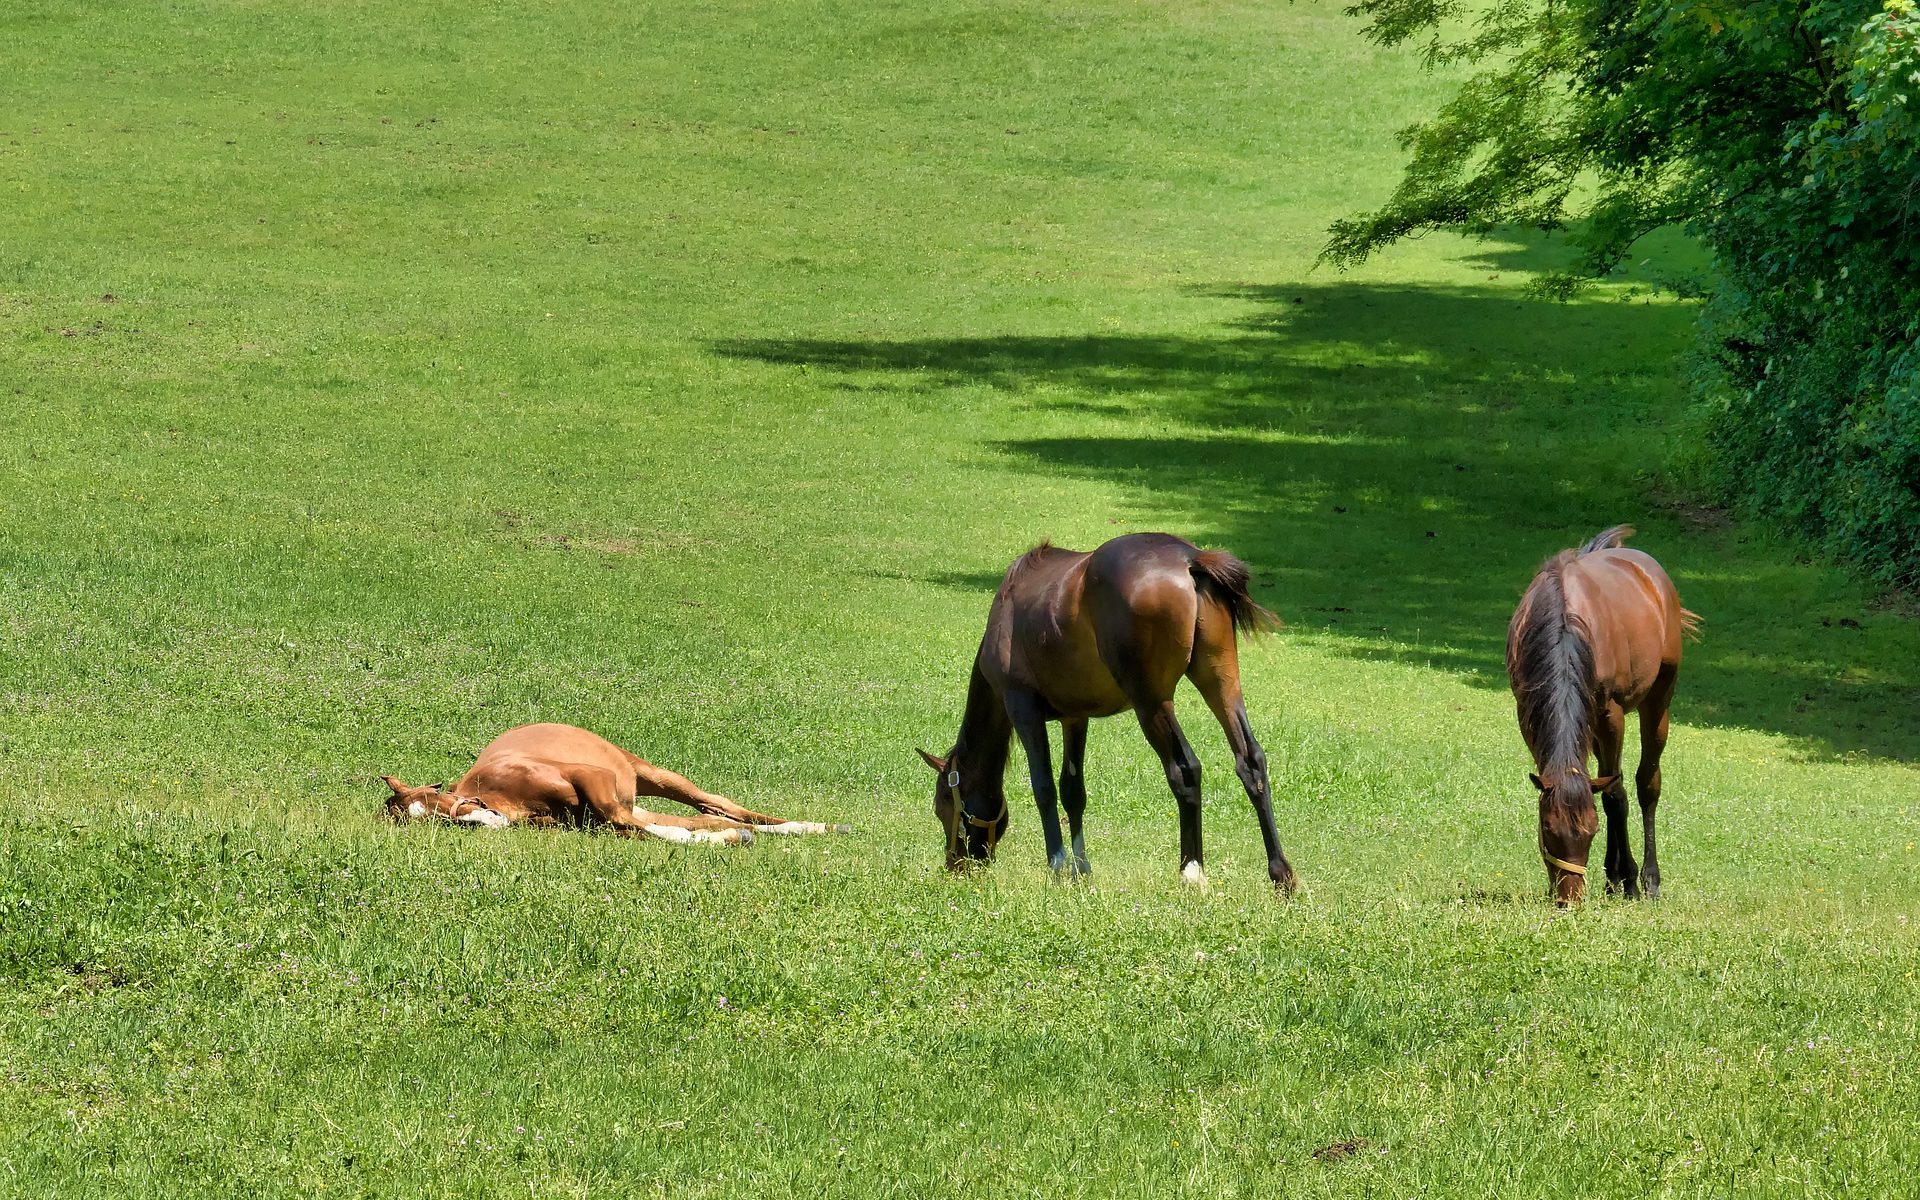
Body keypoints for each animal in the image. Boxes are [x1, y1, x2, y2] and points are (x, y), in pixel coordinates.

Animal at [382, 721, 848, 840]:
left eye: (439, 801)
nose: (477, 821)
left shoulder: (593, 779)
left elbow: (626, 823)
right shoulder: (592, 819)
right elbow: (637, 828)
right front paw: (721, 839)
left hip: (653, 775)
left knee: (722, 804)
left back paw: (815, 826)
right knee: (710, 815)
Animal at [917, 529, 1305, 890]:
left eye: (943, 804)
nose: (955, 864)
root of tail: (1190, 559)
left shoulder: (1022, 708)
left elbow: (1044, 786)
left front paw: (1058, 865)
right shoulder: (1076, 717)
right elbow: (1073, 790)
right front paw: (1082, 868)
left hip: (1151, 701)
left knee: (1185, 769)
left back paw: (1191, 871)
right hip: (1220, 682)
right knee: (1250, 760)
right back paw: (1280, 873)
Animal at [1505, 522, 1704, 898]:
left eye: (1591, 830)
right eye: (1547, 829)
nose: (1569, 899)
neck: (1566, 624)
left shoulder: (1610, 715)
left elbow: (1614, 796)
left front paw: (1629, 877)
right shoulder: (1529, 715)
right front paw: (1614, 874)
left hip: (1657, 702)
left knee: (1645, 784)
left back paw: (1648, 878)